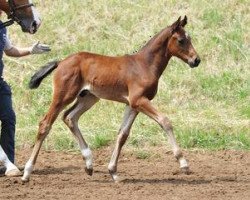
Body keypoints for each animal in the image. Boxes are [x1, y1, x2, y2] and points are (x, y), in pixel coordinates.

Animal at [21, 16, 201, 182]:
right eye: (181, 40)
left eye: (190, 38)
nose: (196, 60)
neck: (145, 65)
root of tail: (61, 62)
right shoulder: (139, 100)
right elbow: (165, 121)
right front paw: (183, 163)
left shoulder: (132, 105)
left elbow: (123, 134)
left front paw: (113, 171)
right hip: (63, 95)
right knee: (45, 124)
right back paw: (27, 173)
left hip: (89, 97)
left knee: (69, 117)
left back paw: (89, 164)